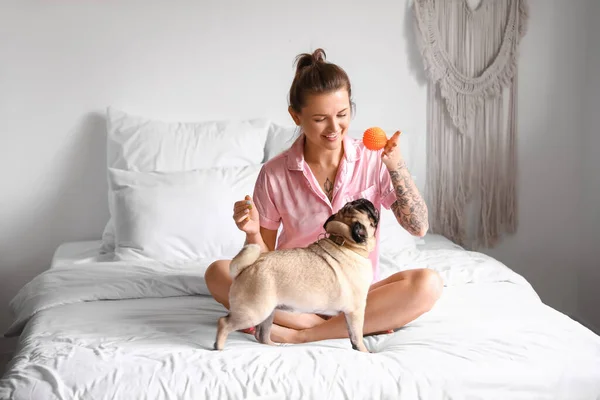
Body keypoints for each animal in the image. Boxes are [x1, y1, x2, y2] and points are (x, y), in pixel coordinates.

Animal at [213, 198, 378, 352]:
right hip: (254, 311)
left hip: (268, 313)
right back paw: (219, 346)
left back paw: (274, 346)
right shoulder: (356, 311)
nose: (362, 200)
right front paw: (363, 351)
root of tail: (248, 266)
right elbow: (357, 335)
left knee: (262, 335)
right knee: (224, 322)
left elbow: (352, 334)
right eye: (366, 210)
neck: (345, 242)